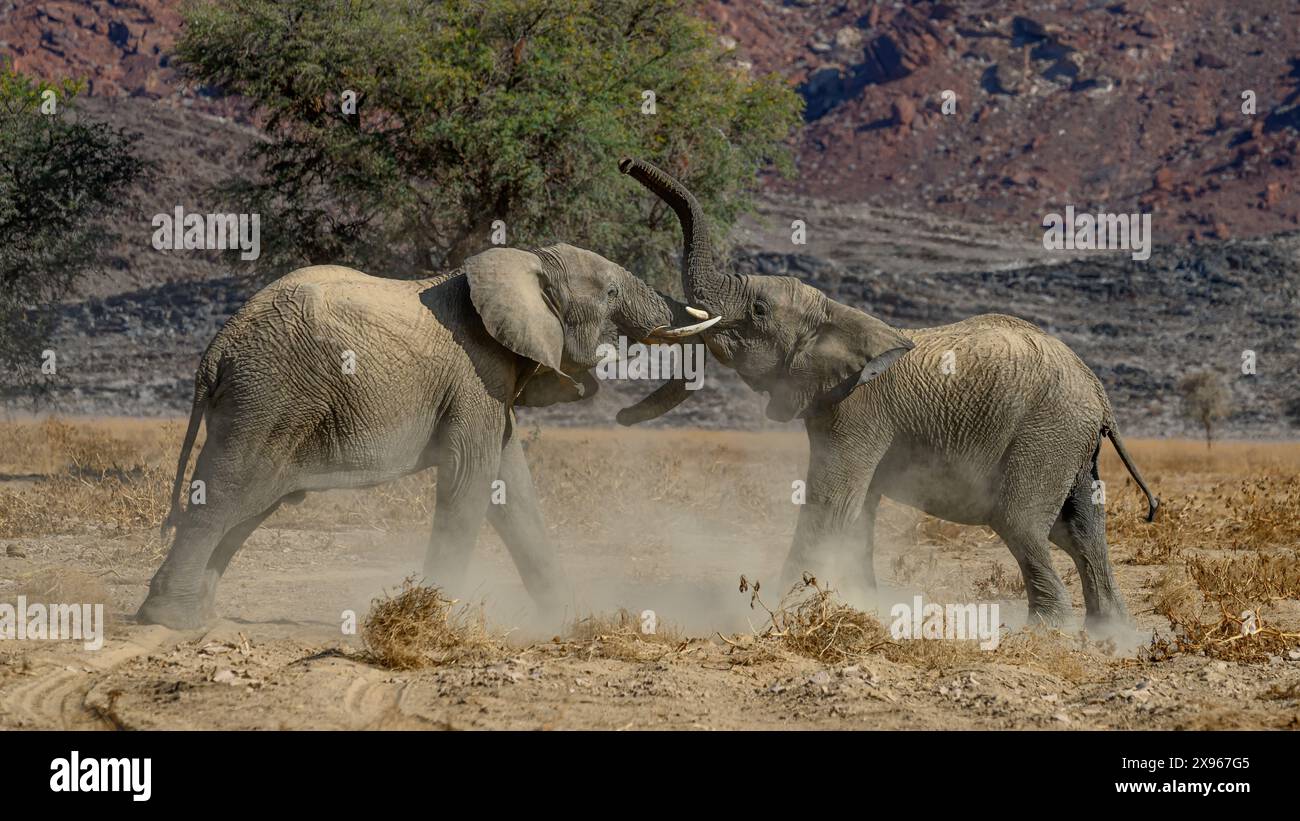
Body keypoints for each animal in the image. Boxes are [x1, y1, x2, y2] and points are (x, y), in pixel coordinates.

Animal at [137, 244, 722, 628]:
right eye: (613, 291)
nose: (623, 417)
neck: (521, 261)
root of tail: (217, 349)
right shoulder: (476, 374)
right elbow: (470, 481)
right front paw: (433, 618)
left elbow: (512, 488)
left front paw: (568, 621)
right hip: (269, 392)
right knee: (229, 491)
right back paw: (173, 620)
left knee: (253, 502)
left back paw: (197, 613)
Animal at [618, 155, 1159, 628]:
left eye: (758, 311)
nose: (625, 163)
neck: (836, 313)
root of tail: (1099, 394)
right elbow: (859, 513)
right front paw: (862, 608)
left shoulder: (857, 410)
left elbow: (831, 503)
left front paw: (777, 614)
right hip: (1070, 443)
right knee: (1082, 531)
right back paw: (1109, 636)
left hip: (1046, 432)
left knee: (1022, 522)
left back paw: (1046, 633)